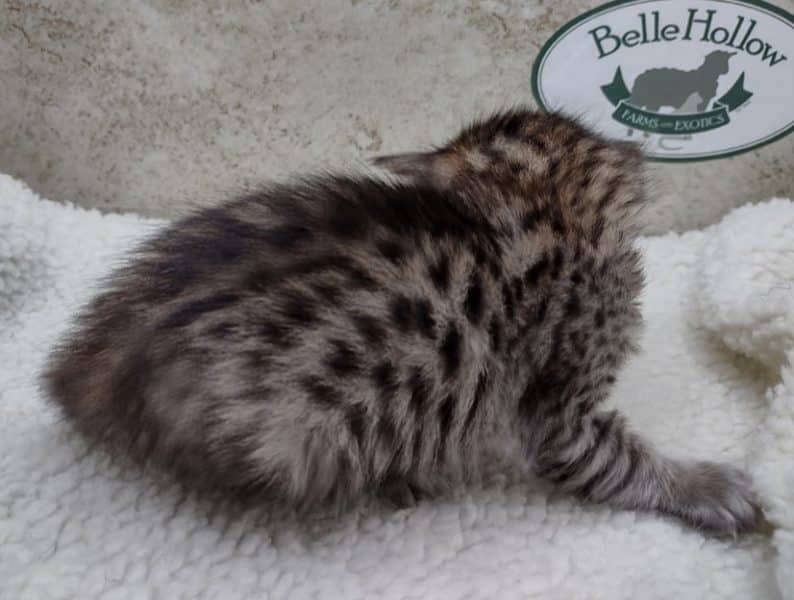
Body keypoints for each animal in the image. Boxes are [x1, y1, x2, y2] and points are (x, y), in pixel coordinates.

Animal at [44, 108, 761, 535]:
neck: (537, 217)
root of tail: (87, 362)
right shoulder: (558, 404)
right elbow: (616, 461)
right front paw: (703, 485)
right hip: (296, 435)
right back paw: (399, 480)